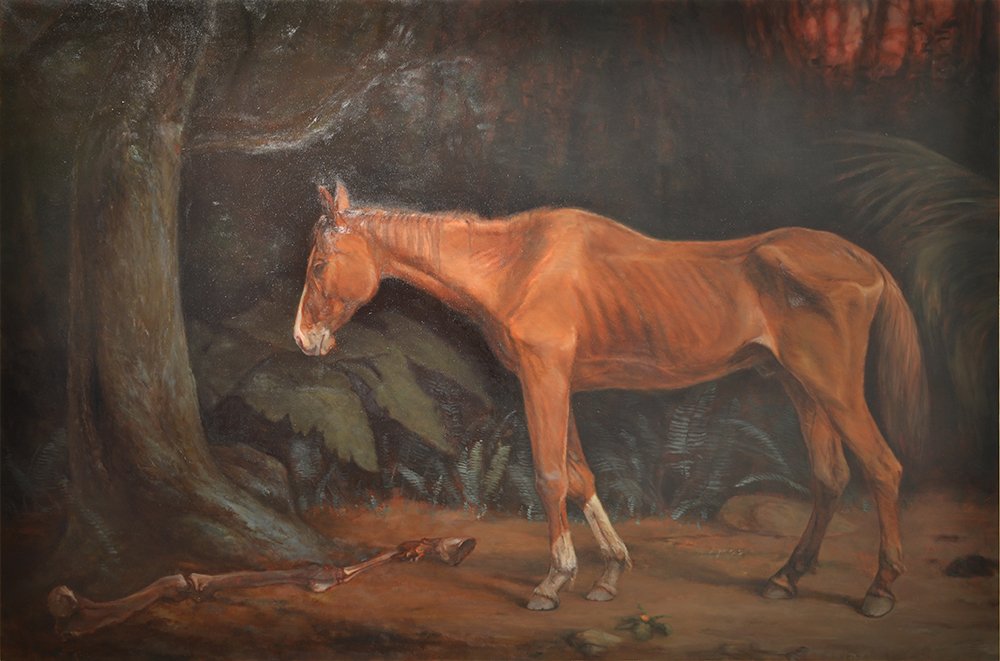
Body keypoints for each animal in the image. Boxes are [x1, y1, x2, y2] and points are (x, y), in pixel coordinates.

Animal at [294, 181, 927, 618]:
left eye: (320, 264)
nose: (304, 339)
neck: (516, 264)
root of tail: (865, 261)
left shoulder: (544, 378)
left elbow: (551, 475)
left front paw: (554, 581)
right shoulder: (560, 384)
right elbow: (581, 477)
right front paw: (609, 573)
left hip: (833, 388)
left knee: (883, 468)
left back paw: (880, 589)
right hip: (803, 388)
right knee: (829, 477)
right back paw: (786, 577)